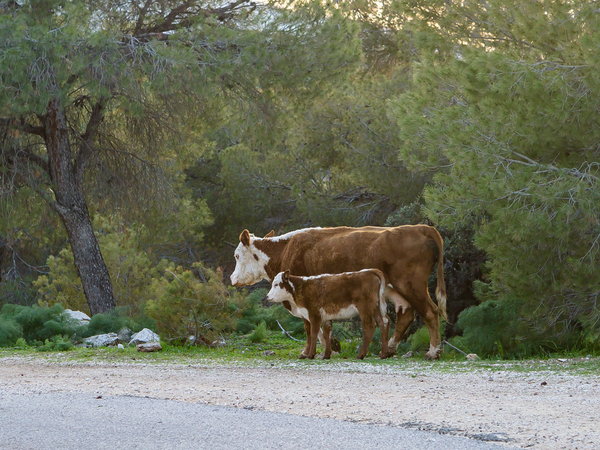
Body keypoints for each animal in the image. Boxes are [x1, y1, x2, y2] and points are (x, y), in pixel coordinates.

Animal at [230, 225, 447, 360]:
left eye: (237, 255)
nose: (232, 279)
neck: (286, 249)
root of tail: (420, 228)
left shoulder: (304, 297)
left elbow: (309, 327)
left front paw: (309, 352)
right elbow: (323, 326)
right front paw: (330, 348)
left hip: (411, 285)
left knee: (430, 312)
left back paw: (433, 352)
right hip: (396, 290)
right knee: (405, 316)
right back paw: (390, 349)